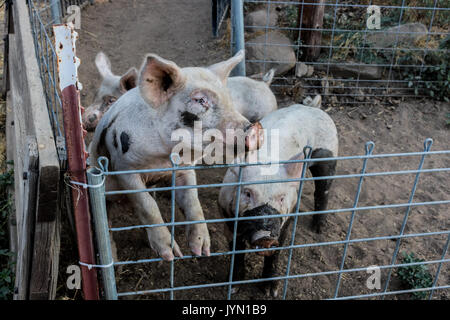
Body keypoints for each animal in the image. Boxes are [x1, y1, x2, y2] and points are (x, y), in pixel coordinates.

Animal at [88, 49, 264, 260]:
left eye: (229, 99)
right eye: (199, 100)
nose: (254, 128)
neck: (163, 159)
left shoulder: (184, 169)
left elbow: (193, 201)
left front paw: (202, 251)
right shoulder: (123, 167)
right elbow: (147, 205)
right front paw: (171, 255)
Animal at [218, 96, 338, 296]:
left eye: (281, 198)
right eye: (248, 193)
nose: (266, 238)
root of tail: (313, 107)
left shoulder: (287, 216)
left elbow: (277, 251)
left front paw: (270, 291)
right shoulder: (226, 212)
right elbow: (236, 250)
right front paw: (233, 287)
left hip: (329, 153)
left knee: (323, 189)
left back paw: (318, 229)